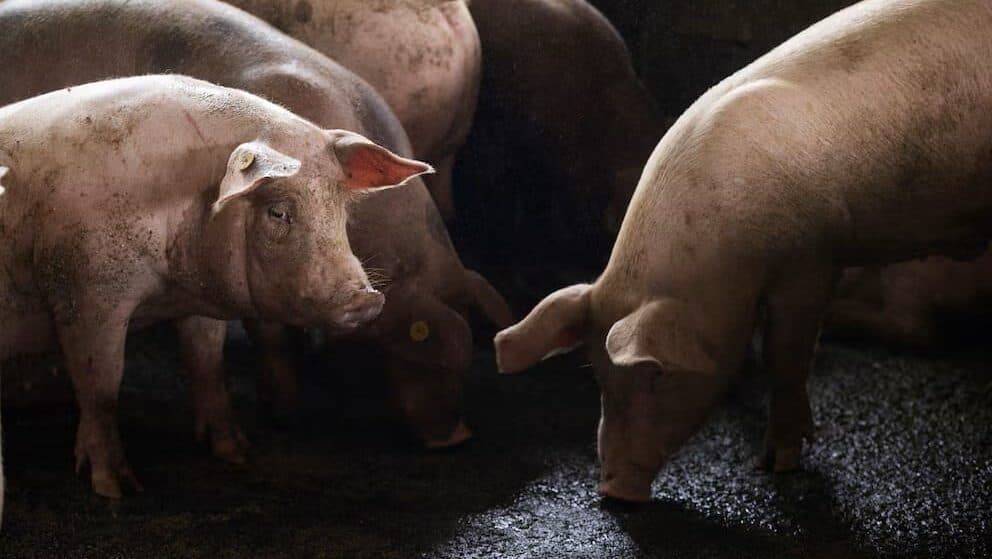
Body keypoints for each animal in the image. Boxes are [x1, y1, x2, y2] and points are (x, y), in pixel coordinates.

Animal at [0, 74, 425, 497]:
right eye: (278, 212)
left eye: (339, 208)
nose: (365, 299)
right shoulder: (86, 294)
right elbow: (101, 388)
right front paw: (118, 490)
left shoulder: (194, 301)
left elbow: (207, 363)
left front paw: (238, 453)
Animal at [495, 0, 992, 502]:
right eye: (597, 375)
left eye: (655, 375)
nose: (612, 489)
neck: (724, 260)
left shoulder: (811, 261)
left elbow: (785, 354)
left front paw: (778, 464)